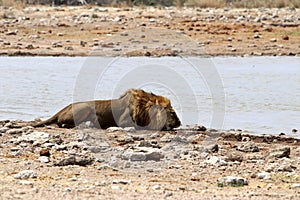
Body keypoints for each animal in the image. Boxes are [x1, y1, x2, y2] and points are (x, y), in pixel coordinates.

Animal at [34, 88, 182, 130]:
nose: (179, 123)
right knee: (62, 123)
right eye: (172, 113)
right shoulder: (123, 121)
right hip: (85, 107)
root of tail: (65, 107)